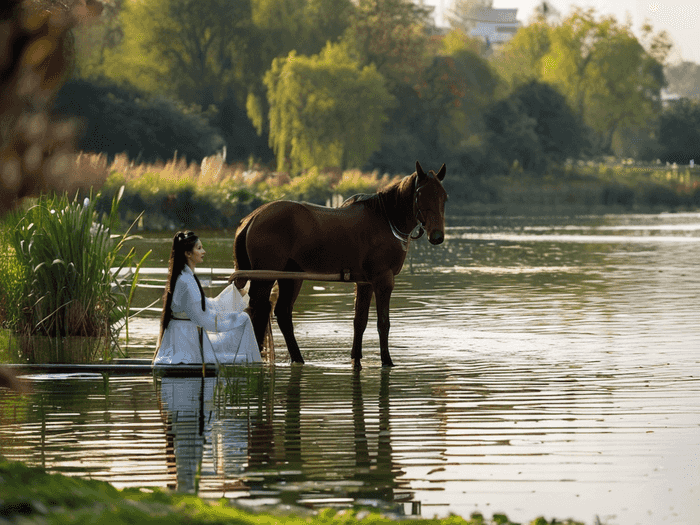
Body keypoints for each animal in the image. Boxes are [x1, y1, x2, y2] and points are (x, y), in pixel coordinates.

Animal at [230, 161, 448, 368]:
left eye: (444, 197)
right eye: (420, 194)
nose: (437, 235)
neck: (386, 220)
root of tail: (254, 217)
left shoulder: (364, 283)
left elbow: (359, 321)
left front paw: (356, 358)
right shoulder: (383, 280)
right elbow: (383, 323)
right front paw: (386, 361)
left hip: (290, 278)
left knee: (281, 313)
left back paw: (297, 358)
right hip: (265, 278)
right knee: (258, 311)